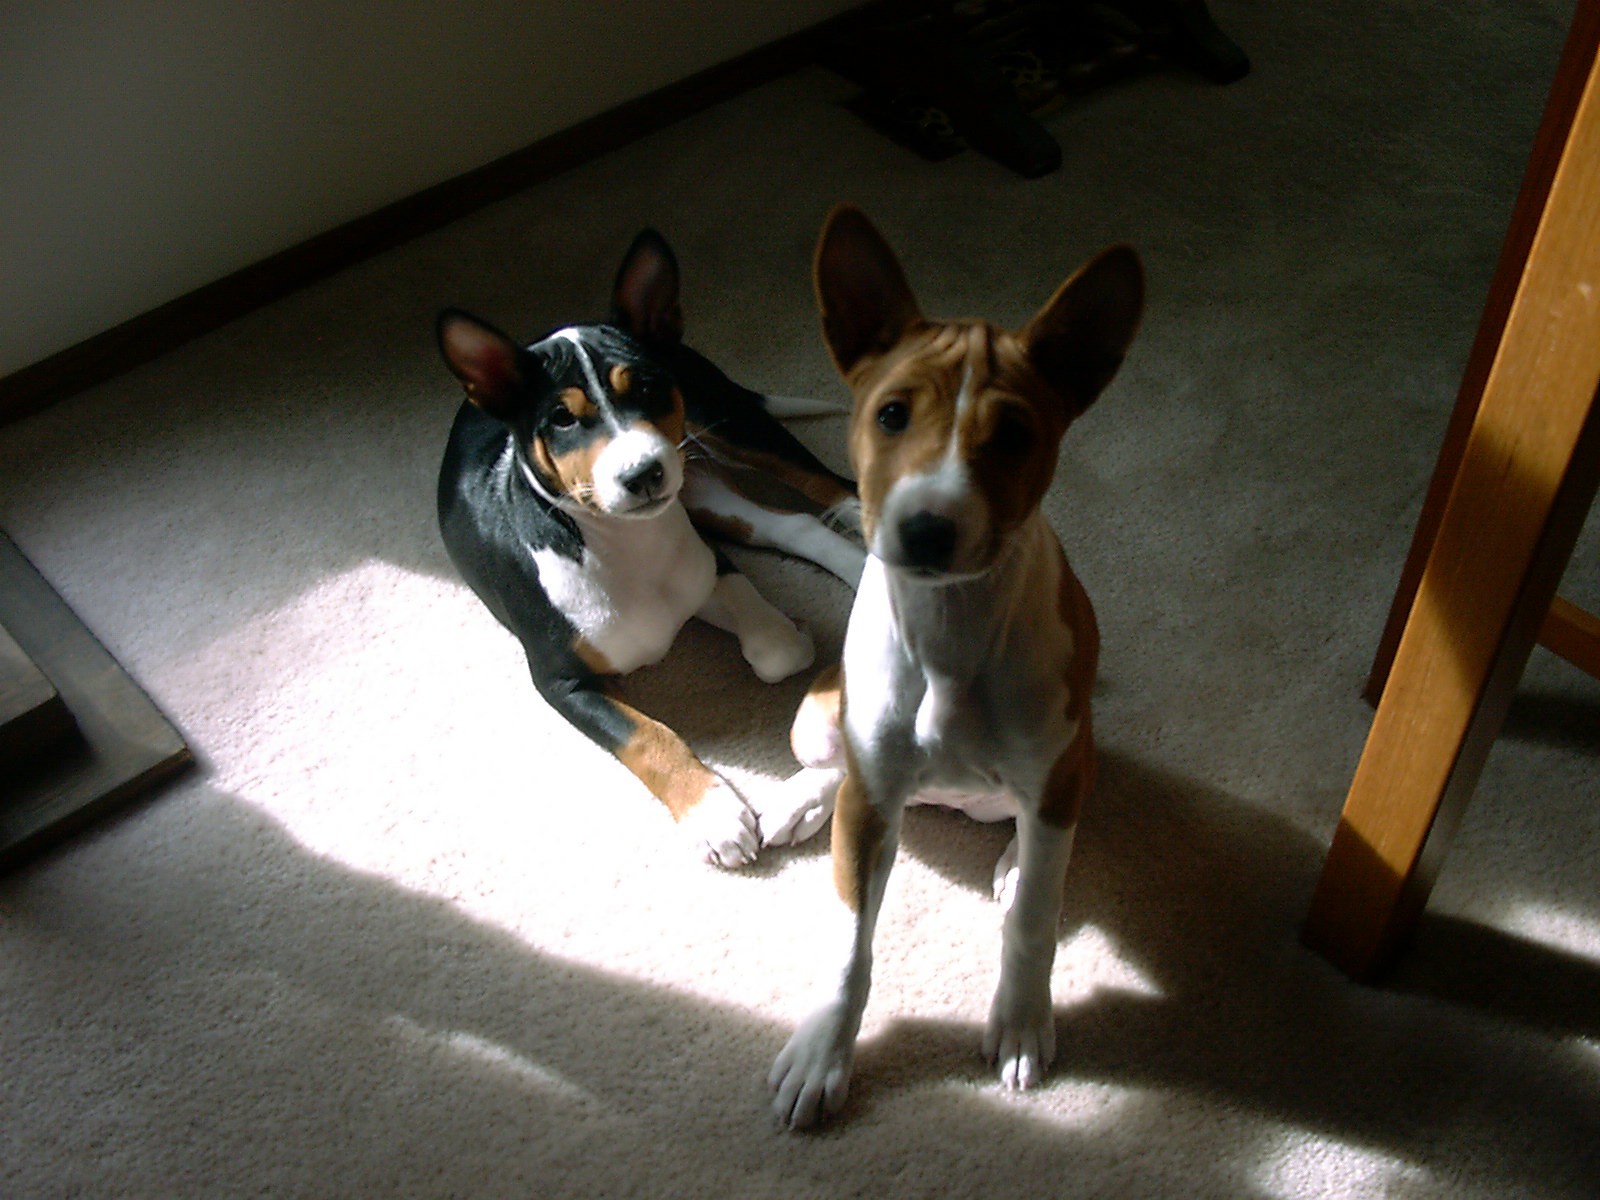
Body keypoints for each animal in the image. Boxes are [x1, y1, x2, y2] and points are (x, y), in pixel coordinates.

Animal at [436, 229, 866, 868]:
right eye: (562, 418)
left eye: (644, 387)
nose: (644, 474)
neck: (625, 546)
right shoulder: (561, 680)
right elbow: (647, 736)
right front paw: (713, 814)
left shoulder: (709, 563)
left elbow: (776, 651)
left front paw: (784, 635)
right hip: (705, 486)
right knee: (790, 527)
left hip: (724, 427)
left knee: (822, 483)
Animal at [768, 205, 1143, 1127]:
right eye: (891, 416)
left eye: (1013, 436)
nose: (928, 529)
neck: (949, 629)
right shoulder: (870, 809)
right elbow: (848, 947)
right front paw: (824, 1054)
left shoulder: (1055, 773)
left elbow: (1036, 921)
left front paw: (1020, 1023)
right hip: (821, 718)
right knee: (838, 770)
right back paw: (800, 802)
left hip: (1071, 762)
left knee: (1031, 834)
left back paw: (1009, 860)